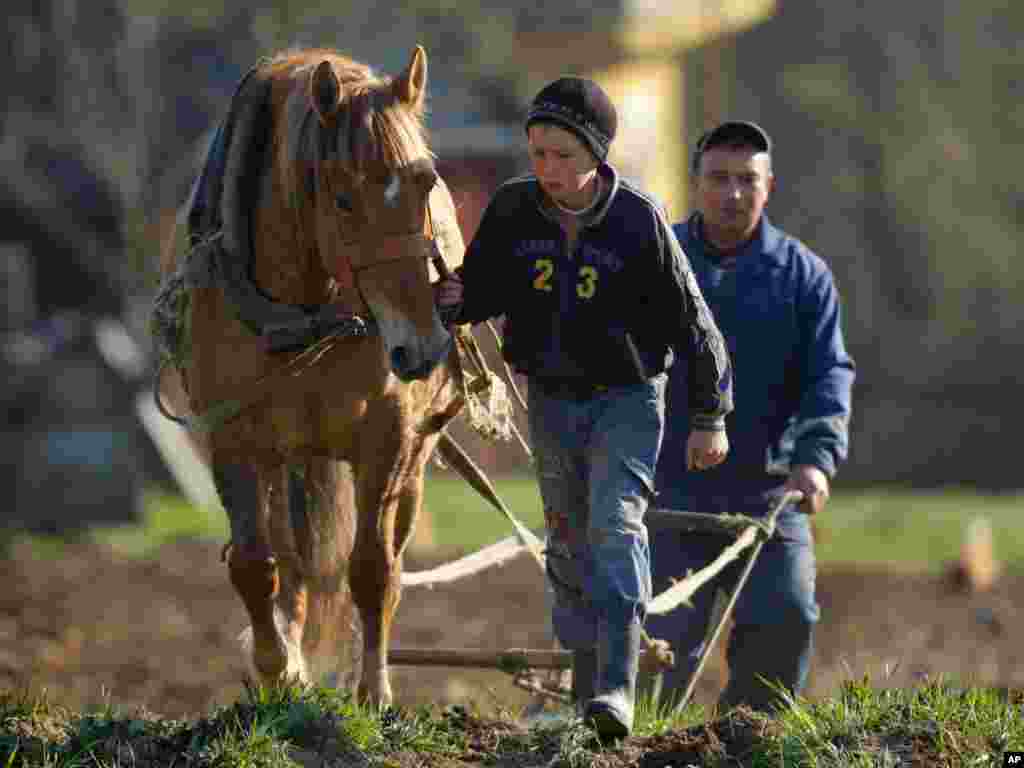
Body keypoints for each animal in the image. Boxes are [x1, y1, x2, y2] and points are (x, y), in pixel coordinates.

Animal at [153, 45, 466, 708]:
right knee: (288, 560)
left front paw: (372, 693)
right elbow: (254, 564)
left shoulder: (388, 439)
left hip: (412, 458)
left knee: (387, 560)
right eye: (342, 197)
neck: (305, 312)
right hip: (285, 458)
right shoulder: (233, 440)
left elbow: (372, 570)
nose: (423, 346)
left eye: (426, 183)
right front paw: (277, 671)